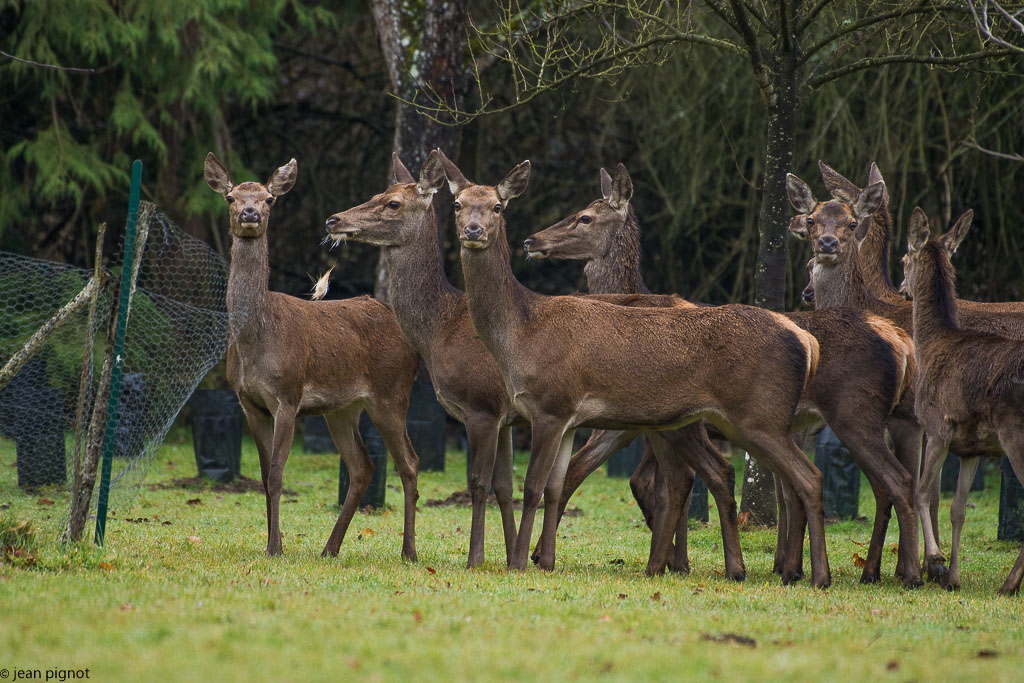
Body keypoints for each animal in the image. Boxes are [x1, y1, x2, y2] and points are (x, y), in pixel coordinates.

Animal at [203, 153, 419, 561]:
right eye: (231, 197)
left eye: (269, 198)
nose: (250, 213)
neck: (256, 340)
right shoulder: (248, 402)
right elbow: (262, 473)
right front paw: (273, 541)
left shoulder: (287, 396)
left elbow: (276, 473)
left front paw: (274, 546)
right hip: (342, 408)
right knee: (363, 465)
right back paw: (329, 548)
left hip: (392, 393)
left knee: (410, 463)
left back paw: (409, 553)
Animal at [438, 150, 831, 589]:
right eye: (457, 204)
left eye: (497, 206)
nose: (473, 230)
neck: (522, 334)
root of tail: (806, 340)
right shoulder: (569, 418)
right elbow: (557, 484)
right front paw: (547, 560)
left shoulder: (552, 404)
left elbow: (535, 484)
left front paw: (520, 561)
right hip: (737, 421)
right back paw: (749, 569)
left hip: (760, 415)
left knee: (807, 478)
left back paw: (816, 575)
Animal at [528, 165, 921, 589]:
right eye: (813, 220)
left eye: (585, 217)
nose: (533, 240)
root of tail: (898, 340)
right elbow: (656, 484)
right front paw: (675, 560)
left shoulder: (636, 422)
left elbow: (634, 480)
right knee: (876, 486)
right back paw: (862, 569)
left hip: (854, 415)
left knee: (891, 482)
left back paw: (897, 571)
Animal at [909, 229, 1024, 593]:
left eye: (903, 258)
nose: (902, 286)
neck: (930, 344)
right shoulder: (972, 449)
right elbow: (957, 509)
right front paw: (952, 577)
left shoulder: (936, 426)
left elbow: (921, 492)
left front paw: (935, 558)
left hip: (1015, 432)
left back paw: (1009, 583)